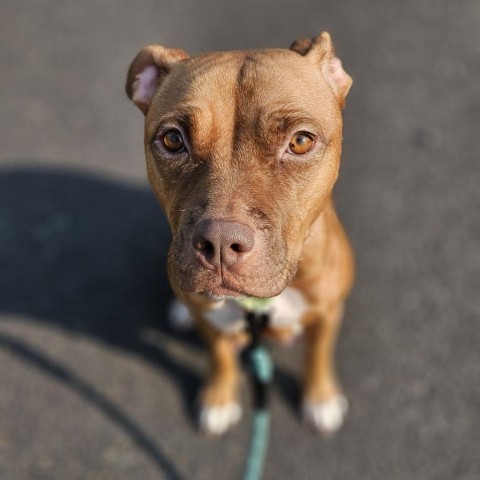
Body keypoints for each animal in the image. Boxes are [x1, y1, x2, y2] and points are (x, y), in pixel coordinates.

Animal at [125, 32, 354, 436]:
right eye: (172, 140)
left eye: (300, 142)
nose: (219, 243)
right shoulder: (212, 326)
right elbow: (220, 358)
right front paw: (218, 398)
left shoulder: (328, 312)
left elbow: (318, 354)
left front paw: (320, 397)